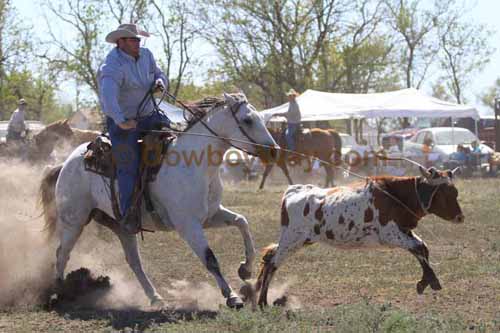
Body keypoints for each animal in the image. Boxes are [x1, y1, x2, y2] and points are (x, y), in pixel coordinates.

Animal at [258, 166, 464, 306]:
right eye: (446, 193)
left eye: (456, 192)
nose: (460, 217)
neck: (396, 196)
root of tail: (294, 191)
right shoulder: (390, 234)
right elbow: (418, 248)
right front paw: (431, 281)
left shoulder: (404, 230)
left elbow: (422, 248)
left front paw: (424, 282)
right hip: (292, 239)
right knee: (272, 263)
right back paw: (261, 302)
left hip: (300, 240)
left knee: (269, 258)